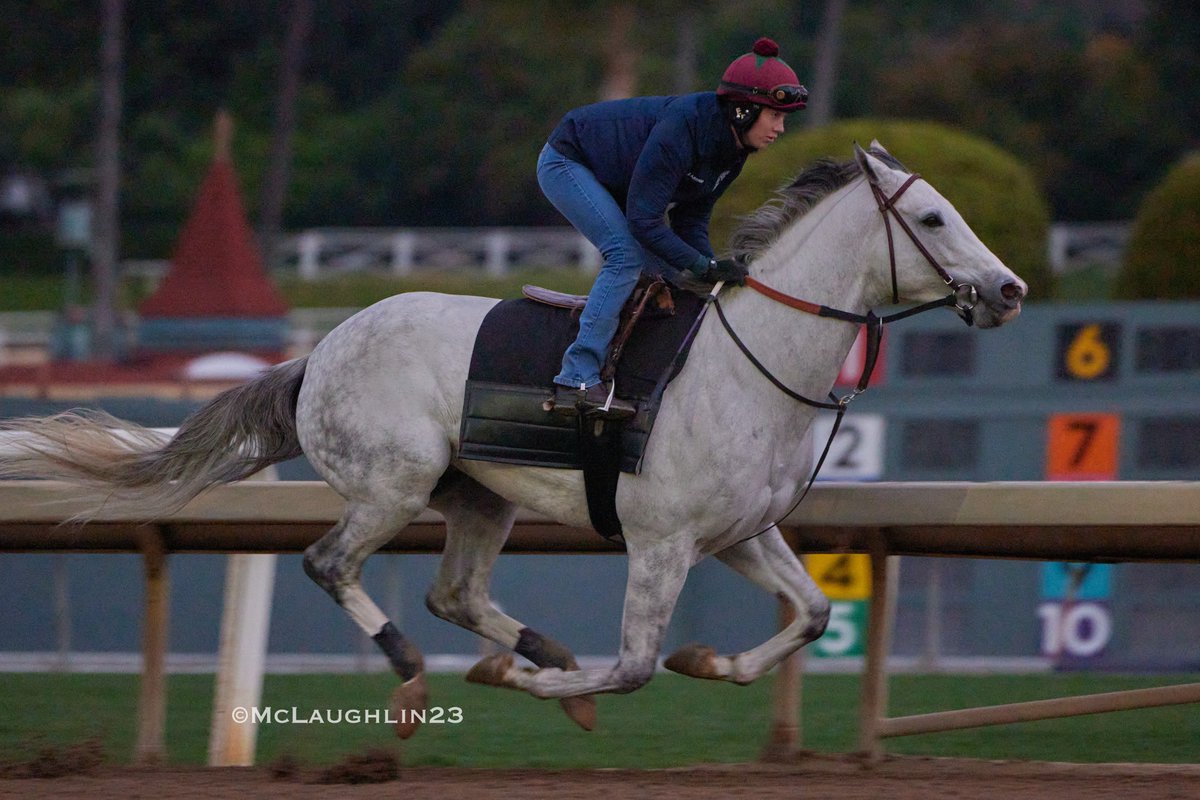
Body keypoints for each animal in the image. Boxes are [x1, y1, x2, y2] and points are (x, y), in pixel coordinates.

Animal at [4, 145, 1027, 738]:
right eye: (932, 217)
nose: (1010, 289)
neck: (749, 364)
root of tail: (317, 352)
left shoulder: (739, 532)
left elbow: (809, 614)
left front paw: (708, 662)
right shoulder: (662, 541)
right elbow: (636, 666)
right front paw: (554, 683)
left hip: (478, 496)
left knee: (454, 591)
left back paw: (540, 653)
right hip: (394, 482)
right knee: (332, 563)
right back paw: (422, 674)